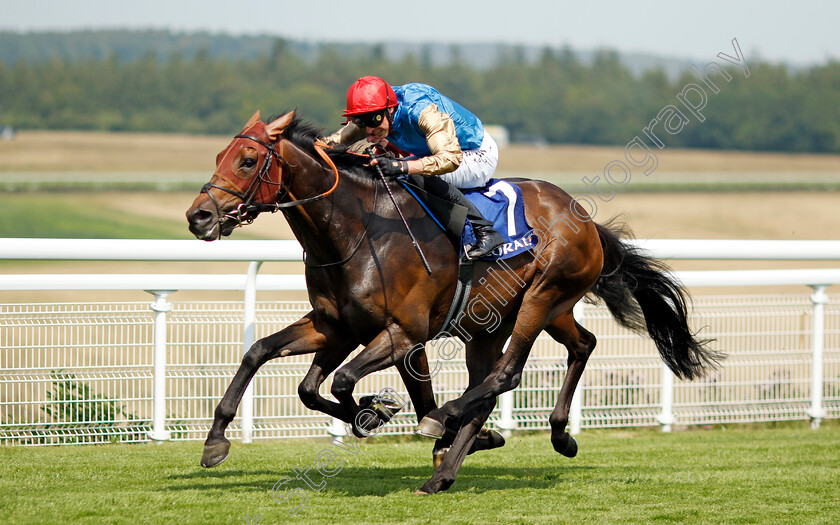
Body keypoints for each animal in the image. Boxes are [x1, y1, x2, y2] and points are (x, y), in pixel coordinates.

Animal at [187, 109, 720, 492]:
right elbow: (277, 366)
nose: (199, 216)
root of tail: (585, 219)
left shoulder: (405, 333)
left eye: (248, 161)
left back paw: (450, 434)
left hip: (543, 296)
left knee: (506, 373)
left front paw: (384, 410)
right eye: (218, 156)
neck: (355, 231)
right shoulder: (335, 326)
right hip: (517, 317)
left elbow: (343, 382)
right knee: (576, 346)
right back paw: (534, 440)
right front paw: (215, 443)